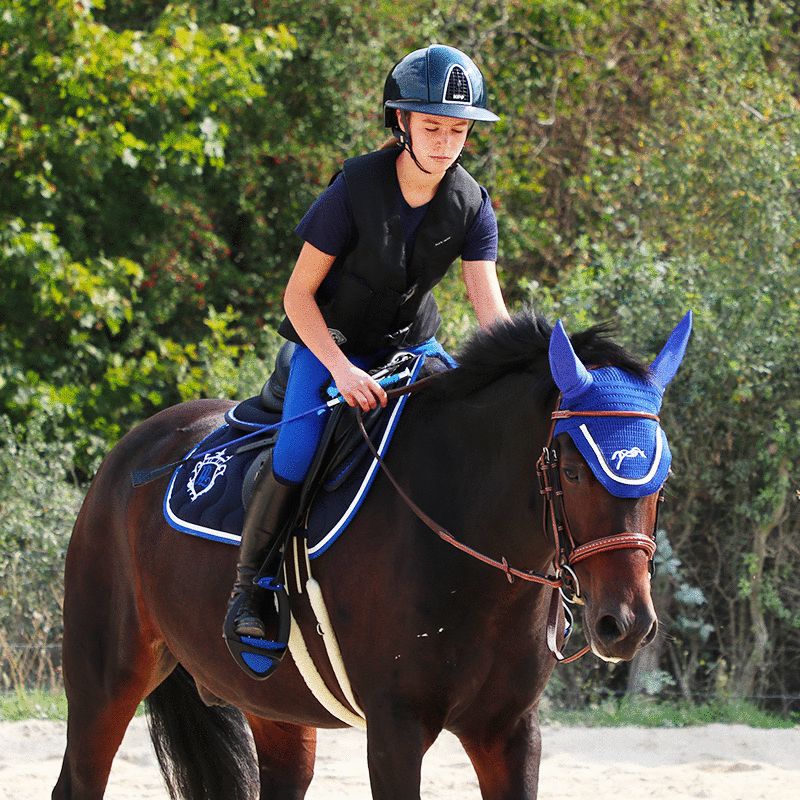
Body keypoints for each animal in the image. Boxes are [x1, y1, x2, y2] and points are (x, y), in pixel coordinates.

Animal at [53, 310, 692, 796]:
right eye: (576, 471)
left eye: (661, 477)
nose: (625, 625)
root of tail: (133, 448)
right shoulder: (394, 734)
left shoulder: (509, 733)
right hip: (105, 680)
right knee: (78, 781)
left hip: (275, 708)